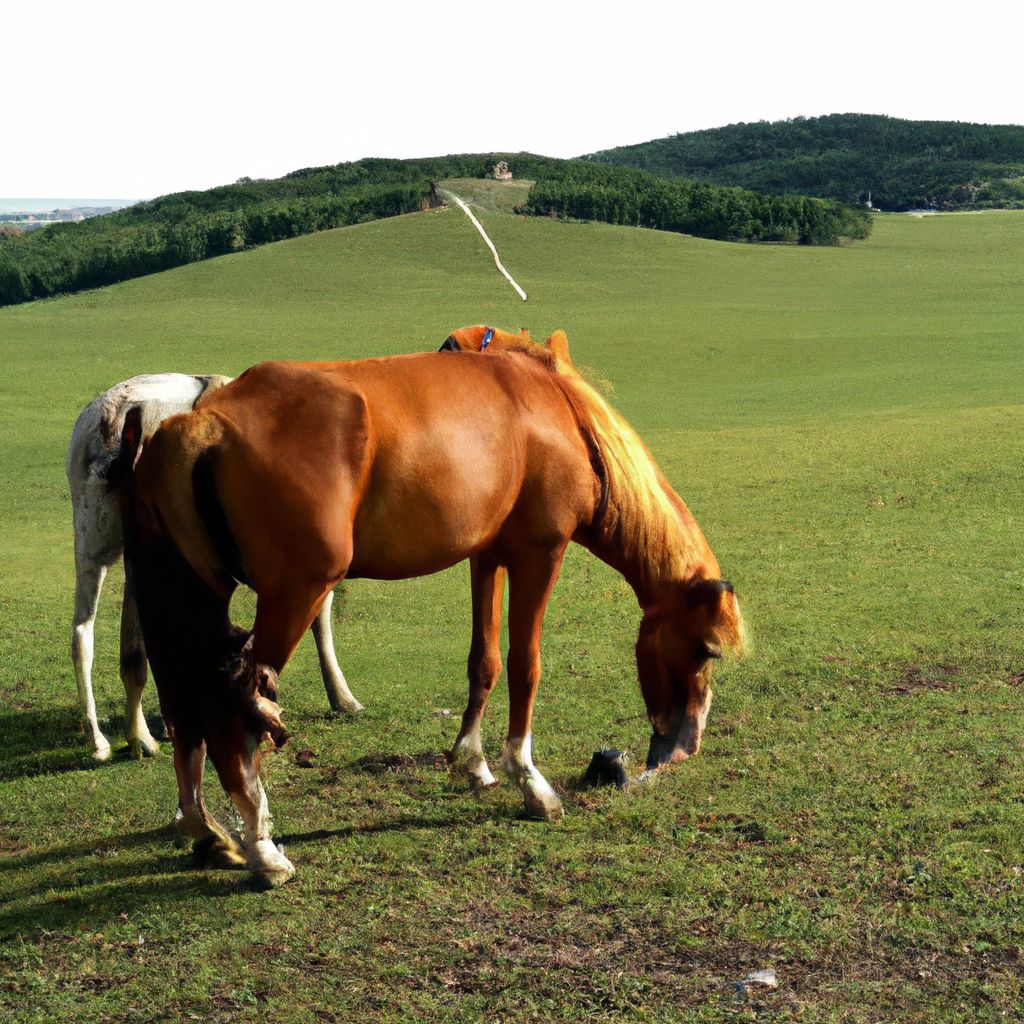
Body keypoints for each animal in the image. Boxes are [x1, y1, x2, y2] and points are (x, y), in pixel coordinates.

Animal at [114, 348, 745, 884]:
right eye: (706, 649)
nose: (684, 746)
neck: (555, 409)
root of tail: (203, 424)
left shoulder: (487, 556)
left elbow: (484, 661)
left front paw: (473, 762)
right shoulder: (539, 553)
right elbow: (525, 664)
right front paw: (529, 782)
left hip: (188, 610)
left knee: (185, 707)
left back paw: (204, 829)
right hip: (295, 595)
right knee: (230, 712)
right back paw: (263, 851)